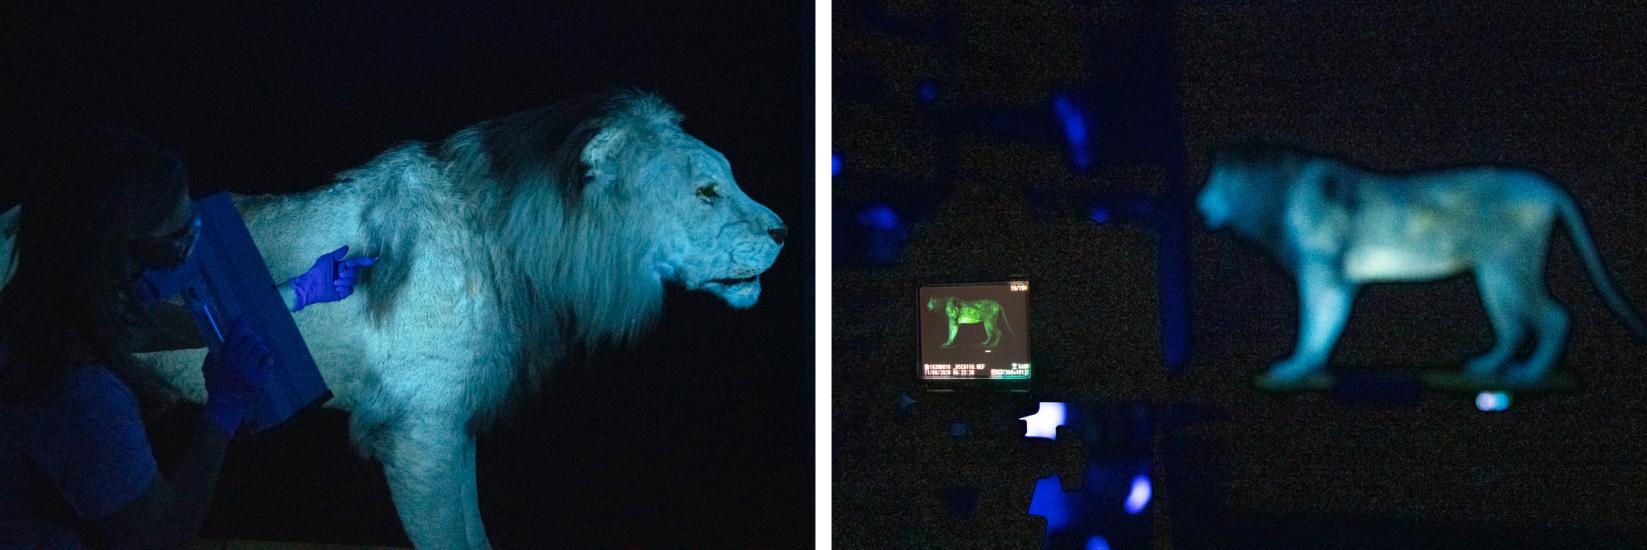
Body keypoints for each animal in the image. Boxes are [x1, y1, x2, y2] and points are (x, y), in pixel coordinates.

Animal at [1199, 144, 1647, 388]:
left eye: (1213, 180)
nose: (1199, 206)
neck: (1271, 194)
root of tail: (1546, 185)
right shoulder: (1336, 280)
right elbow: (1325, 328)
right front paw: (1309, 367)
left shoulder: (1321, 272)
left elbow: (1314, 324)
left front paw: (1293, 370)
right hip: (1492, 272)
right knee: (1513, 327)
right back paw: (1487, 368)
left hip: (1510, 264)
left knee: (1554, 317)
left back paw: (1529, 375)